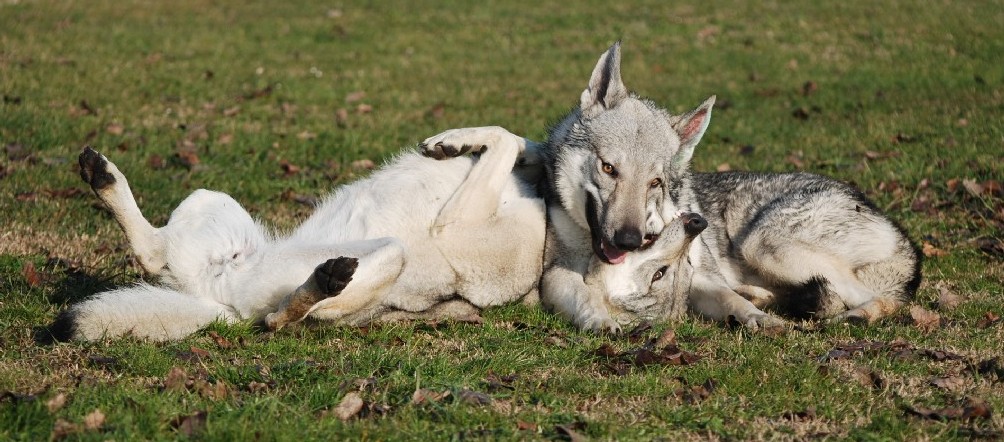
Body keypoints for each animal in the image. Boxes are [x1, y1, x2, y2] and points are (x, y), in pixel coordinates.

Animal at [536, 42, 921, 331]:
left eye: (655, 182)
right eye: (609, 168)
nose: (628, 240)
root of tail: (901, 235)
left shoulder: (703, 278)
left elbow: (729, 299)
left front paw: (760, 320)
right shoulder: (554, 276)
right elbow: (584, 296)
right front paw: (599, 319)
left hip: (764, 245)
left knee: (882, 298)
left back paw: (855, 315)